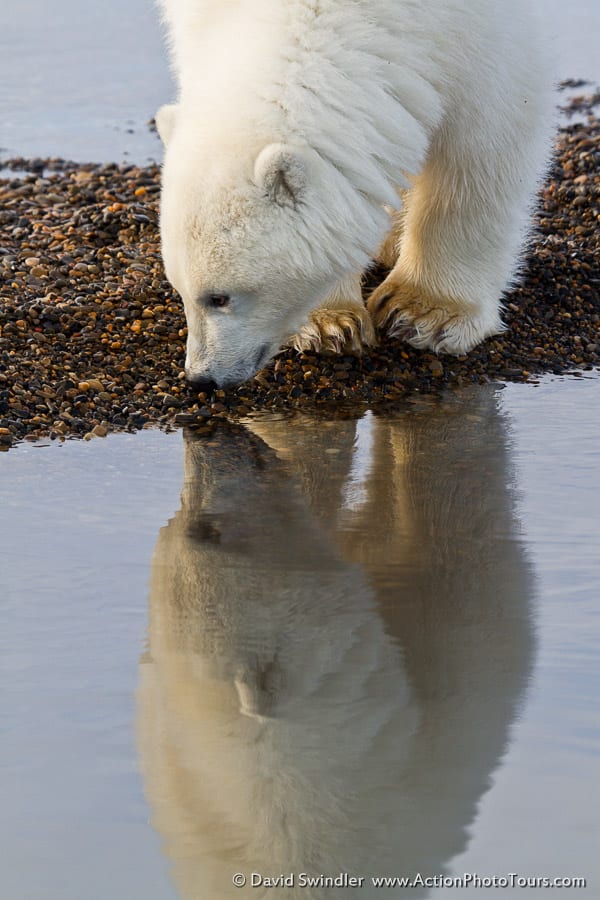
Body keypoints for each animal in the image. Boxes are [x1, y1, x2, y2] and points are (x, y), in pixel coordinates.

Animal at [156, 0, 552, 386]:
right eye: (178, 288)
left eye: (219, 297)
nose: (201, 377)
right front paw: (330, 323)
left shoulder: (488, 34)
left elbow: (482, 148)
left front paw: (426, 313)